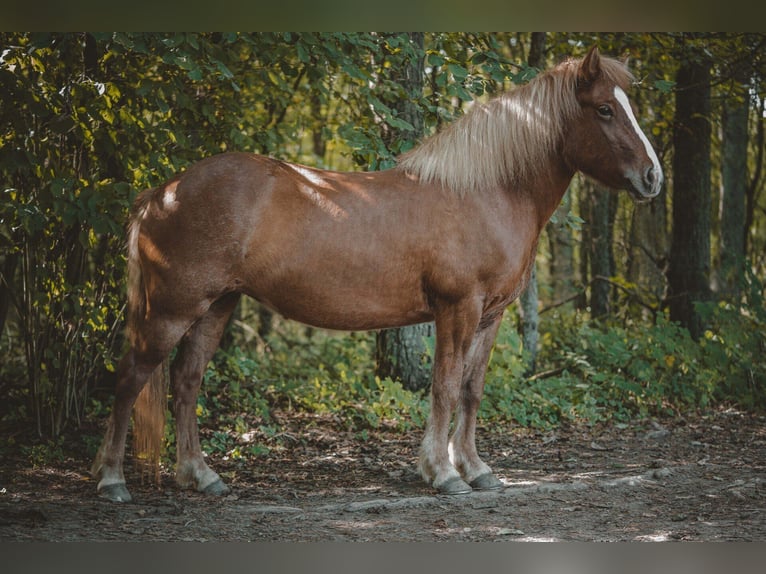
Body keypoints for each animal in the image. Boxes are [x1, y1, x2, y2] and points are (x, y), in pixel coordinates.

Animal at [92, 46, 662, 502]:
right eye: (605, 109)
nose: (653, 178)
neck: (488, 191)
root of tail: (163, 191)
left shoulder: (490, 315)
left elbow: (472, 389)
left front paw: (476, 469)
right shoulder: (457, 308)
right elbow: (444, 386)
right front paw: (442, 474)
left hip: (216, 306)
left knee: (186, 382)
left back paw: (201, 475)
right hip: (172, 309)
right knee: (131, 378)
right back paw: (112, 481)